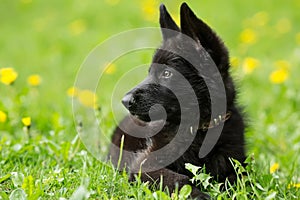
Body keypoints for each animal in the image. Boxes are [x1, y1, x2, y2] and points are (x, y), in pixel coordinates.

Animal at [109, 2, 245, 198]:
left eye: (167, 73)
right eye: (150, 72)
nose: (125, 101)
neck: (198, 129)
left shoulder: (235, 165)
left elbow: (237, 181)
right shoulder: (144, 165)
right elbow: (180, 179)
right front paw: (200, 195)